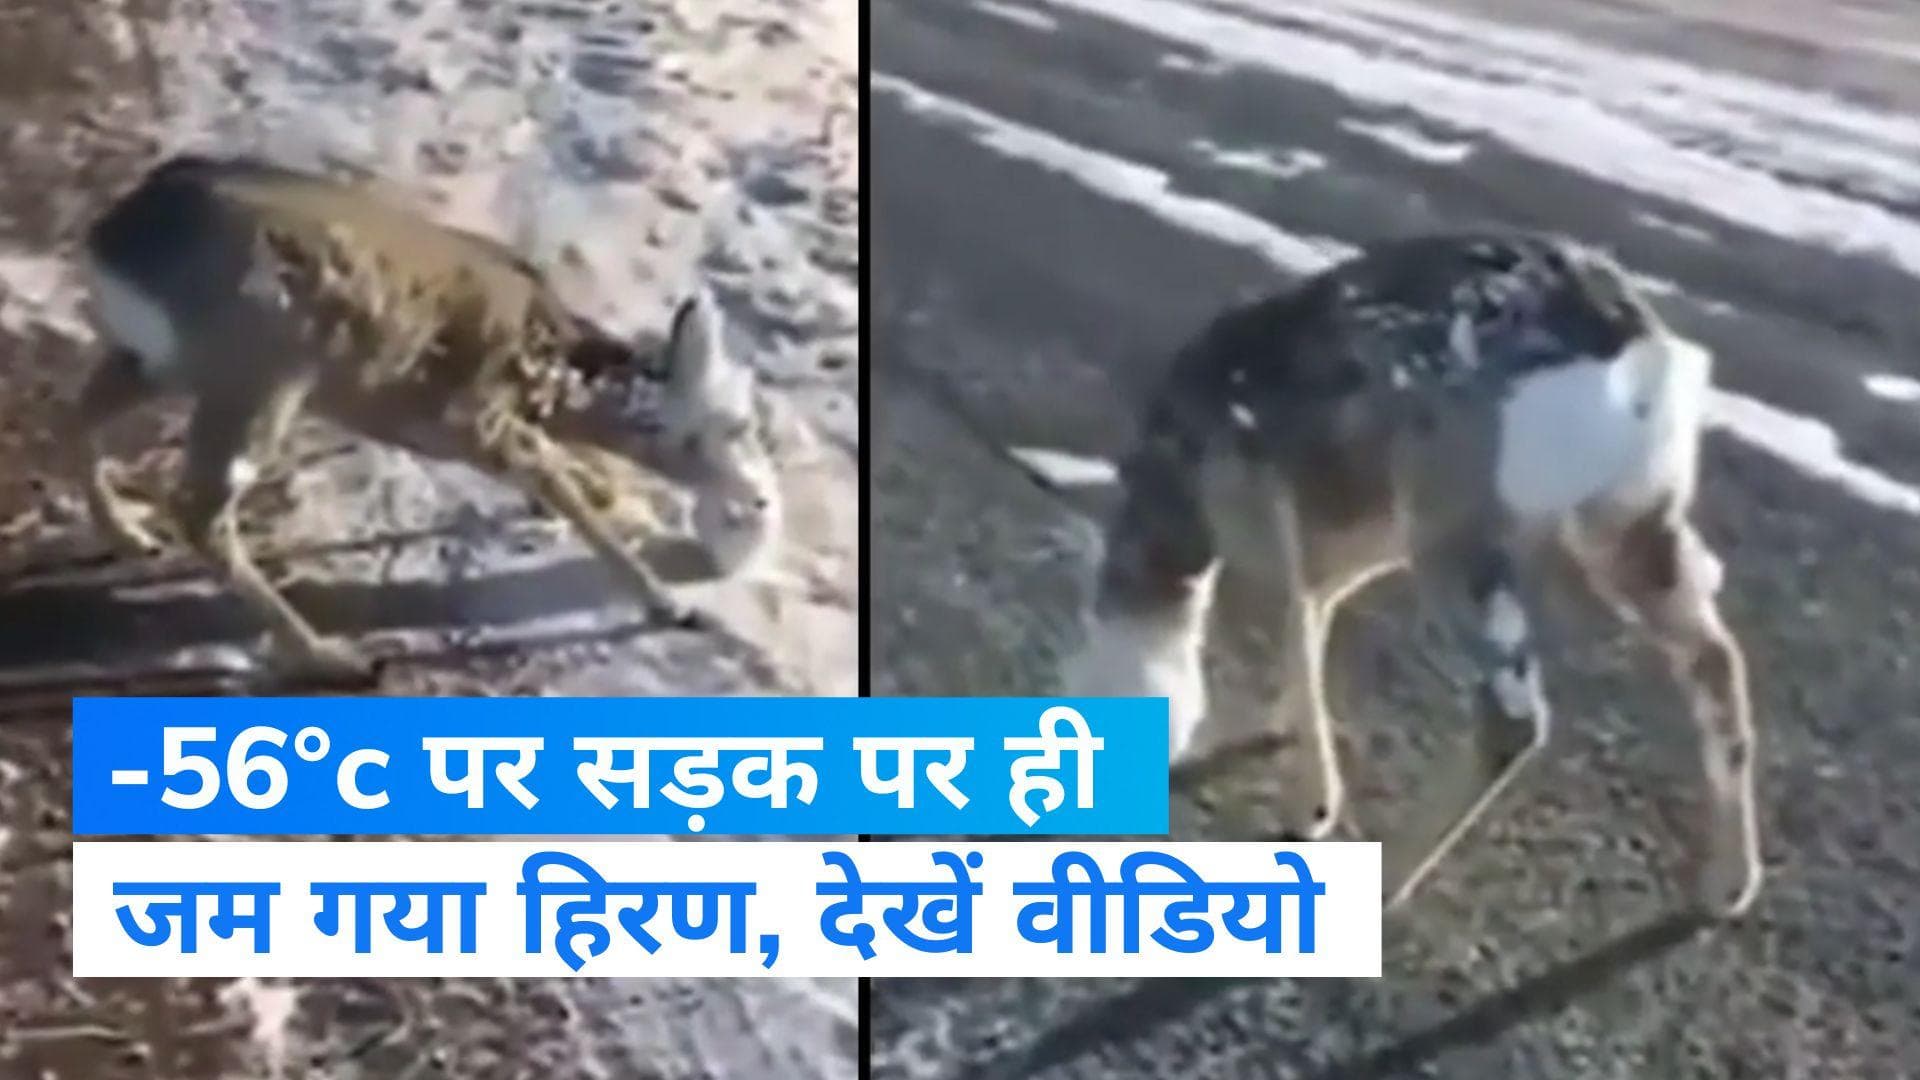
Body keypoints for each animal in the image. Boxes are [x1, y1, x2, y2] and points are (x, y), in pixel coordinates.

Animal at [67, 153, 783, 682]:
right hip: (260, 375)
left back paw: (128, 533)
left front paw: (612, 504)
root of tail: (113, 237)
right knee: (201, 514)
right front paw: (670, 605)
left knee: (80, 414)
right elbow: (571, 493)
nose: (760, 502)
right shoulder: (481, 425)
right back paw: (332, 658)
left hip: (161, 362)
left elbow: (577, 483)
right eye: (736, 425)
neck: (552, 371)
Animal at [1059, 231, 1761, 919]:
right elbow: (1312, 616)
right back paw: (1731, 884)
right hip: (1630, 522)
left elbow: (1293, 623)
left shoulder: (1269, 513)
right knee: (1715, 659)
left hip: (1457, 519)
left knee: (1514, 717)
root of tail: (1638, 352)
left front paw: (1312, 805)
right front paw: (1285, 736)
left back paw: (1387, 879)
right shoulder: (1351, 538)